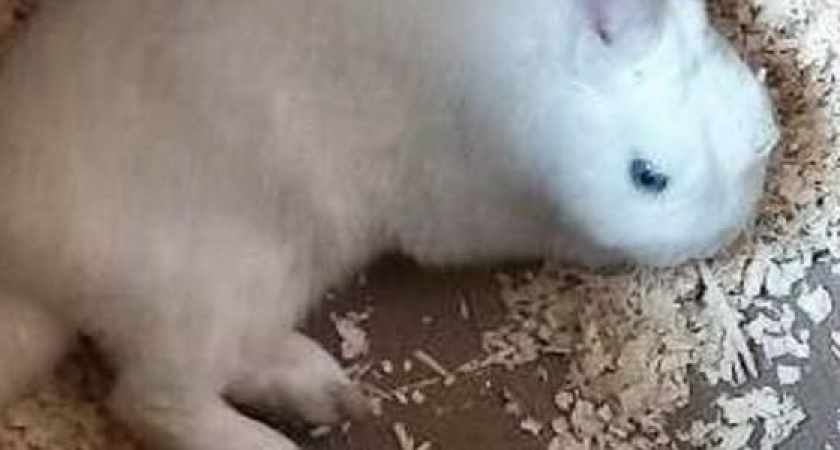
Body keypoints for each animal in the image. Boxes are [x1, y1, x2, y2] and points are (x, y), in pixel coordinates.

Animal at [0, 0, 778, 448]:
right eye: (647, 176)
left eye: (761, 125)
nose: (720, 237)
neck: (545, 92)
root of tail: (29, 270)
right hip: (218, 285)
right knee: (153, 401)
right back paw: (273, 443)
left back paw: (326, 391)